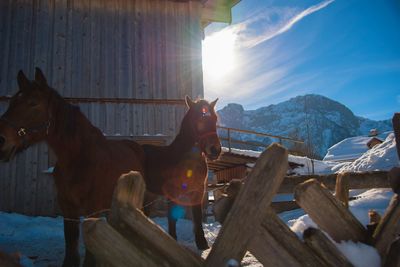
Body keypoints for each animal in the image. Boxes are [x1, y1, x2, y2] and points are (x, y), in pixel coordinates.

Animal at [0, 69, 144, 267]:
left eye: (33, 103)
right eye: (12, 101)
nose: (1, 140)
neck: (79, 159)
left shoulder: (93, 208)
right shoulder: (67, 207)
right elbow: (71, 242)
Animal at [142, 97, 220, 251]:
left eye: (215, 119)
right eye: (199, 119)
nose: (215, 150)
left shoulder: (198, 190)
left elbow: (197, 215)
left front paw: (202, 244)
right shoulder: (172, 192)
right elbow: (172, 217)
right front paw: (172, 239)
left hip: (150, 192)